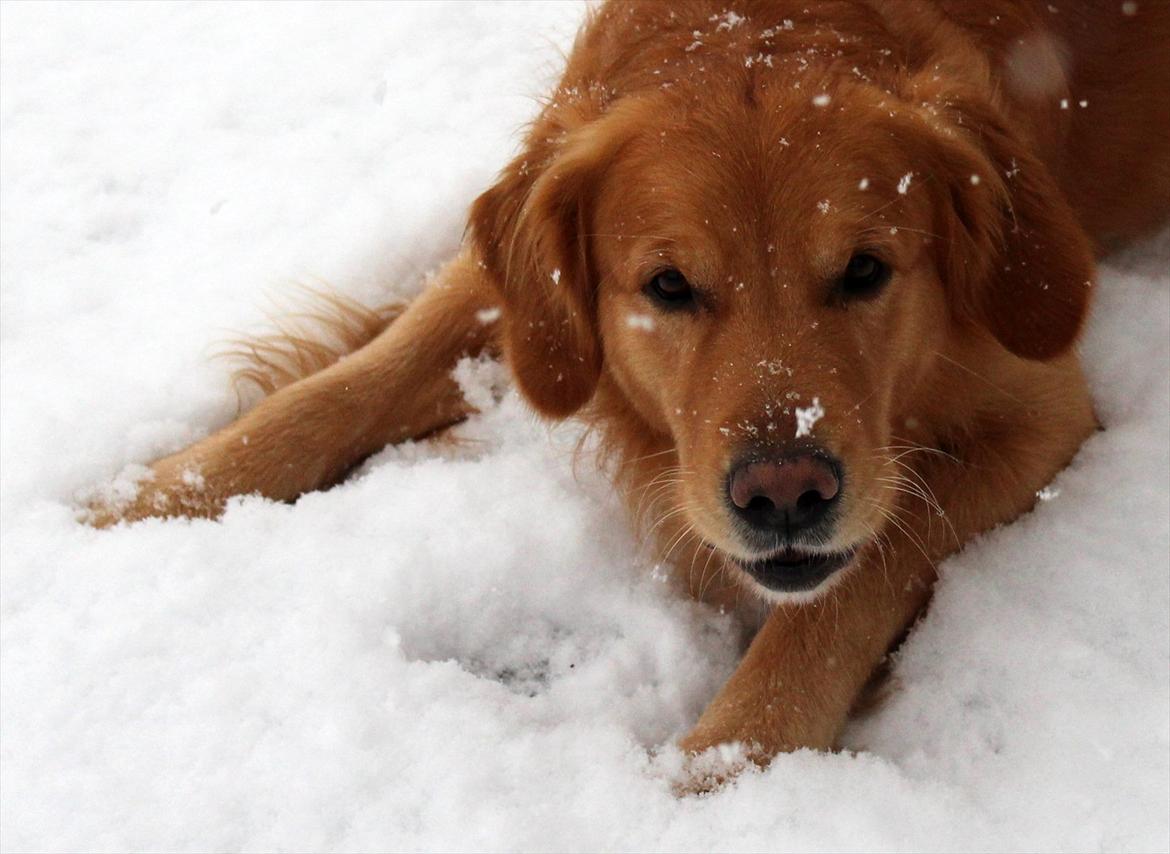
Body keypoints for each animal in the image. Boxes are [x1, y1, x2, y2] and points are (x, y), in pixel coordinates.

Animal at [91, 0, 1170, 772]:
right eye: (669, 286)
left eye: (866, 270)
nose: (785, 493)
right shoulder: (525, 280)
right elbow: (356, 377)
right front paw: (146, 501)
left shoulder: (1040, 405)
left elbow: (859, 575)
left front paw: (727, 764)